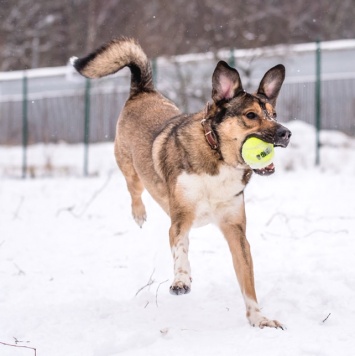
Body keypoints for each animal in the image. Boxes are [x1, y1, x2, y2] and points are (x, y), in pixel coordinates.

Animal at [72, 37, 292, 330]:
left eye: (274, 113)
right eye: (251, 115)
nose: (286, 133)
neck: (217, 157)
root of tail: (142, 90)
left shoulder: (236, 230)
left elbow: (247, 281)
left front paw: (259, 319)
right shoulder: (180, 218)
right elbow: (180, 249)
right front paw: (180, 280)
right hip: (131, 168)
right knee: (134, 189)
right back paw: (139, 214)